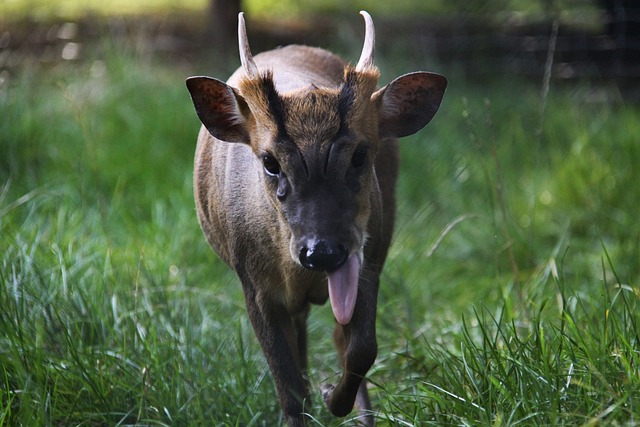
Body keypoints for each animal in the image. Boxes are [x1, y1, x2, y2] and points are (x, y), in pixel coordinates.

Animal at [184, 11, 444, 426]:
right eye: (270, 161)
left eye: (359, 155)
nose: (321, 251)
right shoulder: (252, 283)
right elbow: (289, 389)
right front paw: (312, 400)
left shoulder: (370, 259)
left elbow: (362, 349)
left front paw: (332, 398)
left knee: (335, 338)